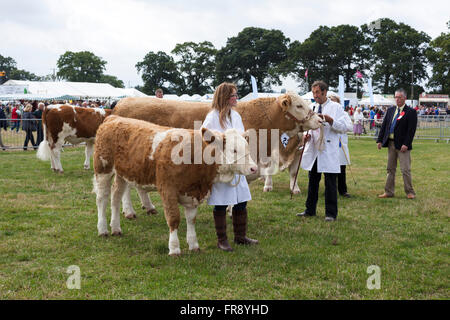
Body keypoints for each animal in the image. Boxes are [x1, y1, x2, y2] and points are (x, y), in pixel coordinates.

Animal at [92, 115, 258, 255]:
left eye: (247, 148)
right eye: (234, 150)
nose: (254, 168)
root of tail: (113, 118)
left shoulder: (192, 193)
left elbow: (191, 219)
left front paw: (193, 245)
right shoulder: (168, 190)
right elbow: (173, 218)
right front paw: (174, 248)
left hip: (122, 174)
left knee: (115, 197)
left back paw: (115, 228)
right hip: (103, 169)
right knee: (102, 199)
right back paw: (102, 229)